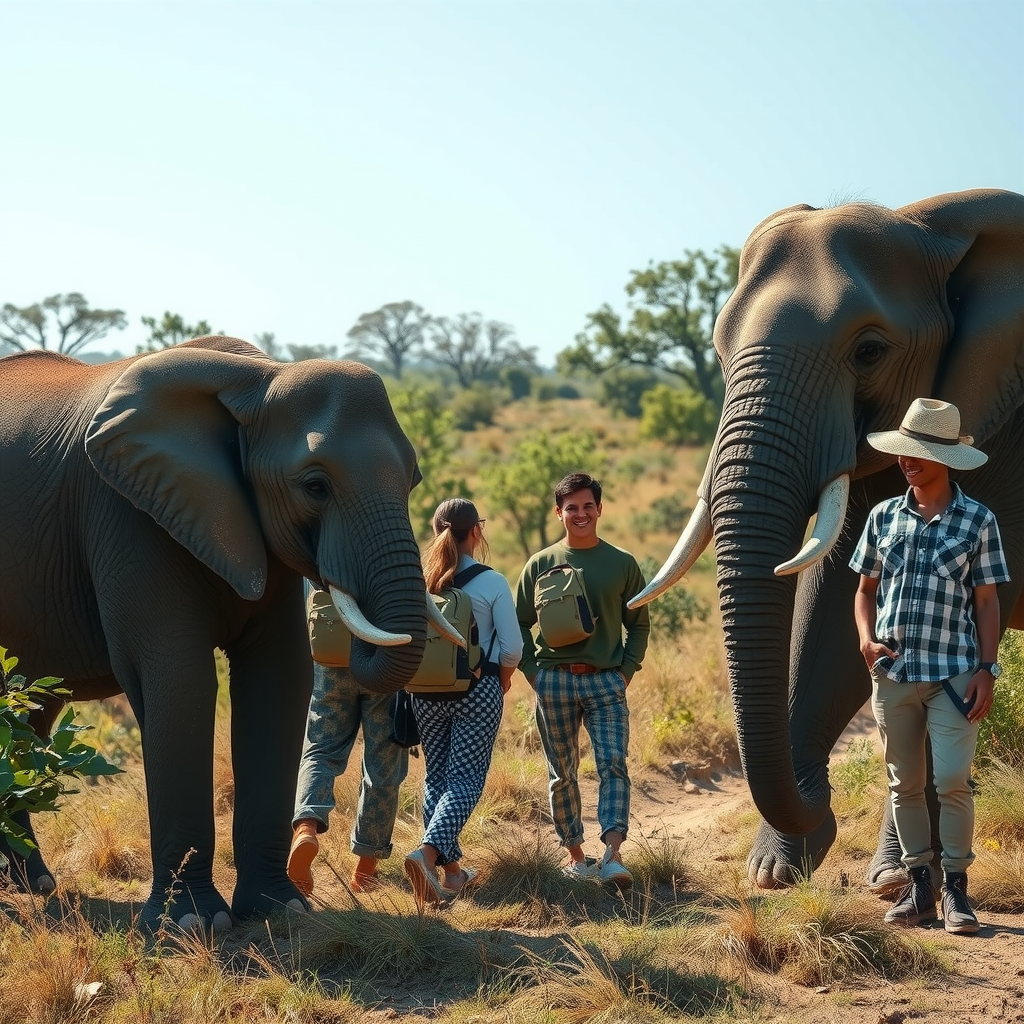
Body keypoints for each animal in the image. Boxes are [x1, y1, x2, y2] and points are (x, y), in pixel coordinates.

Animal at [0, 335, 459, 930]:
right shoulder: (127, 513)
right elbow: (181, 680)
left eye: (413, 481)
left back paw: (35, 883)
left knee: (32, 713)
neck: (255, 378)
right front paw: (192, 925)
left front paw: (280, 910)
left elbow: (279, 678)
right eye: (315, 486)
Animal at [632, 189, 1024, 890]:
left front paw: (895, 876)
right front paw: (775, 869)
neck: (931, 225)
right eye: (720, 351)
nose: (819, 798)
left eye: (869, 352)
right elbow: (836, 610)